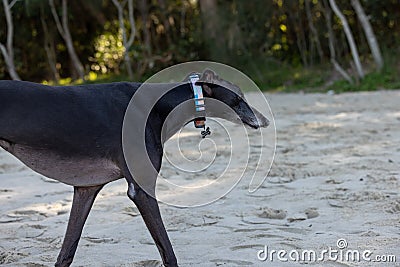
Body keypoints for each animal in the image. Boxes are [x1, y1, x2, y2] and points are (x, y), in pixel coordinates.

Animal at [0, 70, 268, 266]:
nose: (264, 121)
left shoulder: (87, 188)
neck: (160, 104)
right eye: (240, 97)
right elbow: (167, 252)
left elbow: (66, 253)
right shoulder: (140, 190)